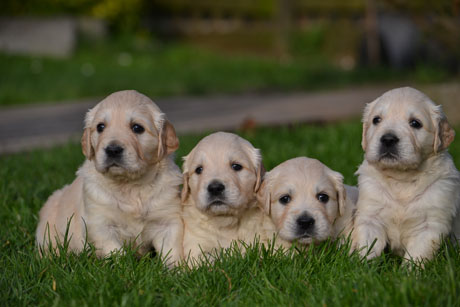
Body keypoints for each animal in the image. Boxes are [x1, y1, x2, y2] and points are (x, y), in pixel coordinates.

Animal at [36, 91, 183, 264]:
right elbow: (115, 252)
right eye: (101, 127)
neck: (129, 185)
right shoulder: (100, 223)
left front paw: (176, 269)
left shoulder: (168, 221)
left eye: (137, 128)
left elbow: (172, 251)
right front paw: (125, 266)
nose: (112, 150)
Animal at [352, 86, 460, 262]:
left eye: (415, 123)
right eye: (376, 120)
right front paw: (362, 265)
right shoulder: (370, 216)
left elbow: (417, 256)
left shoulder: (430, 225)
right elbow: (367, 247)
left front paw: (410, 269)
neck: (402, 179)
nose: (388, 139)